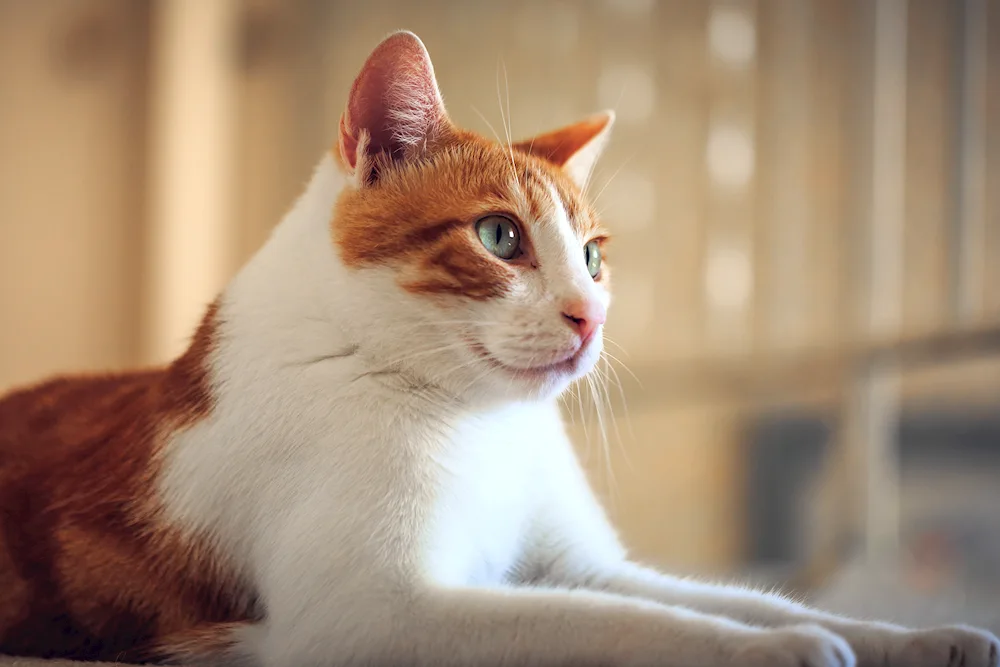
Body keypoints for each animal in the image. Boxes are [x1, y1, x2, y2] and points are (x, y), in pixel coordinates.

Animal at [1, 28, 1000, 667]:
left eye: (593, 255)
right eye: (499, 237)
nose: (589, 316)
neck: (478, 421)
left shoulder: (588, 564)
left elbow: (734, 595)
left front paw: (916, 637)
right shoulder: (371, 613)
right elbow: (619, 628)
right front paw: (785, 649)